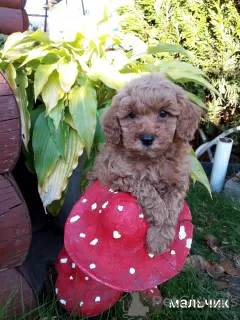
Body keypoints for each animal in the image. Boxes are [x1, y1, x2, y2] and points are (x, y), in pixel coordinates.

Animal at [88, 73, 201, 255]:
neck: (152, 159)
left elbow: (172, 206)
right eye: (131, 115)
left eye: (163, 113)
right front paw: (160, 212)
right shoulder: (114, 173)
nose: (147, 139)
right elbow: (144, 186)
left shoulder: (179, 181)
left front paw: (160, 237)